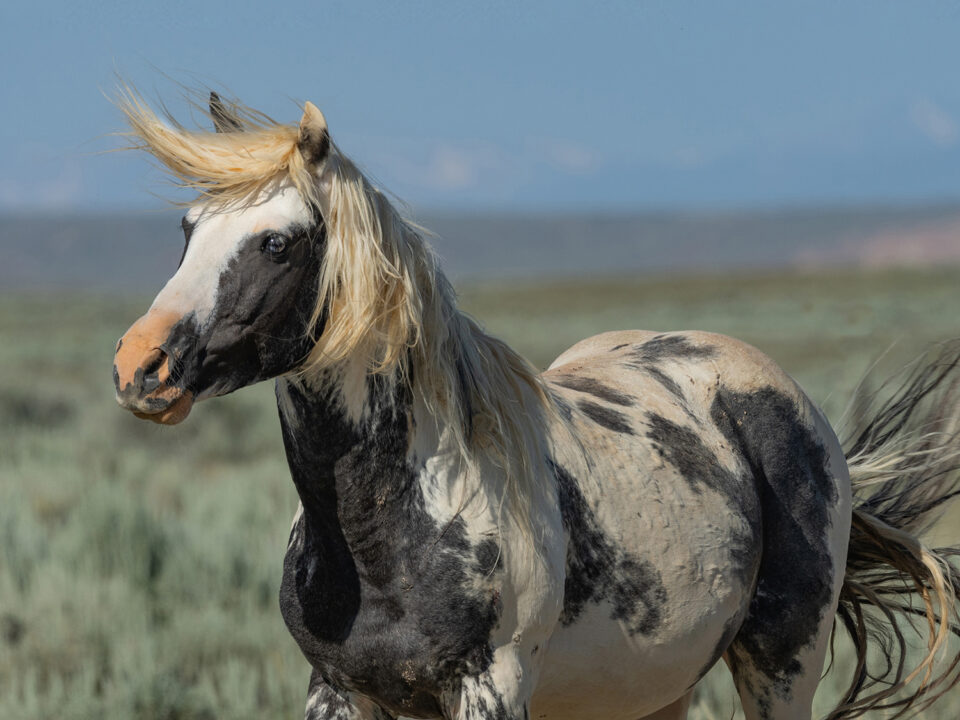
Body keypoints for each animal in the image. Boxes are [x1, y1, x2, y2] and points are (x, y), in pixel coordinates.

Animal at [110, 91, 960, 720]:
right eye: (188, 228)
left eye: (278, 243)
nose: (139, 368)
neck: (392, 526)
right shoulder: (337, 692)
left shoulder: (491, 688)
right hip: (653, 691)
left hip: (783, 664)